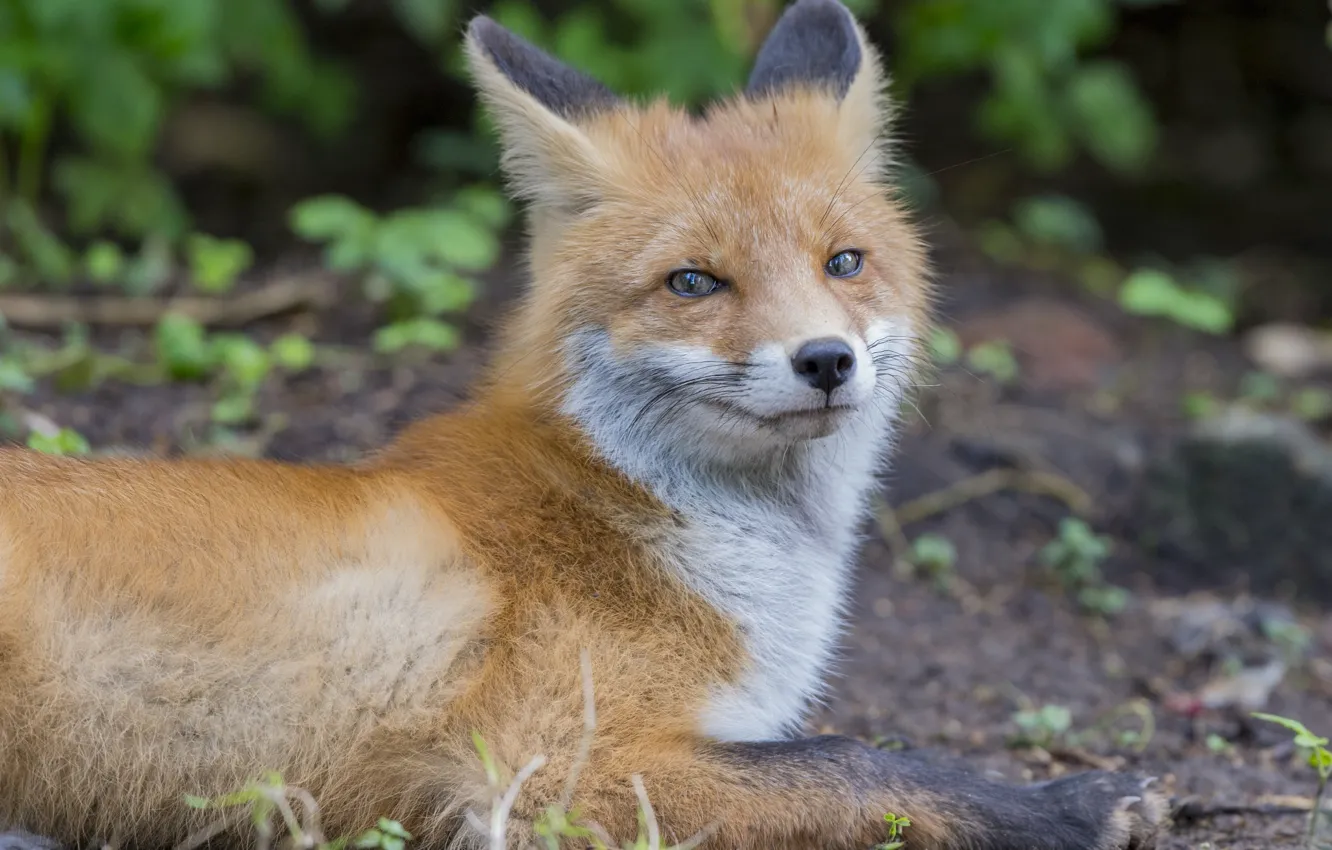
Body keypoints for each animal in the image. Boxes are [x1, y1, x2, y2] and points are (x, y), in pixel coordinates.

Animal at [0, 1, 1168, 848]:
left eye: (845, 262)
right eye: (694, 281)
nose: (826, 360)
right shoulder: (551, 771)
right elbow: (854, 760)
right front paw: (1066, 807)